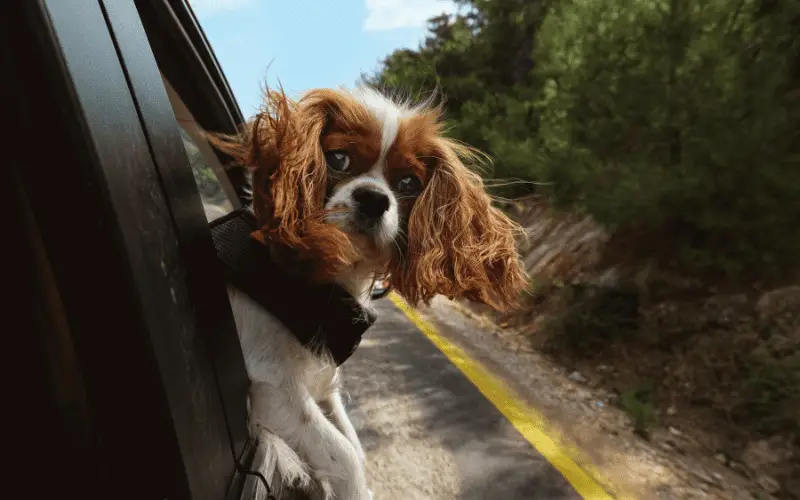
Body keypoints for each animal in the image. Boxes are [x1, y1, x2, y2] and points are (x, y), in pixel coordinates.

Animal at [209, 87, 528, 500]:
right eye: (338, 158)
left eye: (408, 183)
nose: (375, 199)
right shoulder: (271, 387)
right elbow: (344, 454)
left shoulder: (320, 383)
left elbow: (352, 441)